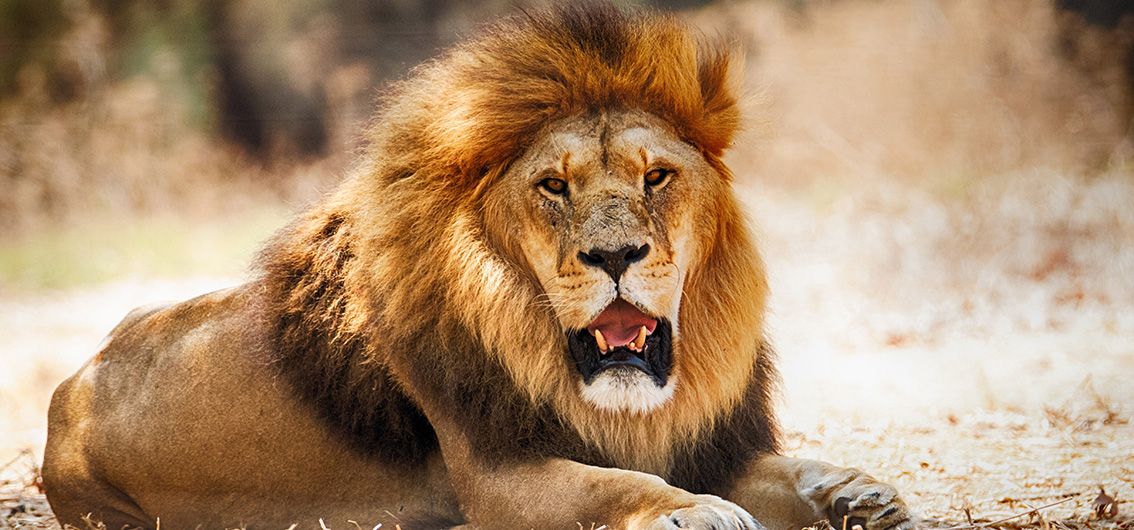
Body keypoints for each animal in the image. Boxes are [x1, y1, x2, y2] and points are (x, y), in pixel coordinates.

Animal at [42, 4, 916, 530]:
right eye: (554, 186)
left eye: (656, 178)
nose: (615, 255)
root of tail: (72, 386)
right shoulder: (497, 475)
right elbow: (613, 484)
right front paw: (690, 511)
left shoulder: (709, 444)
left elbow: (789, 467)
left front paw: (857, 492)